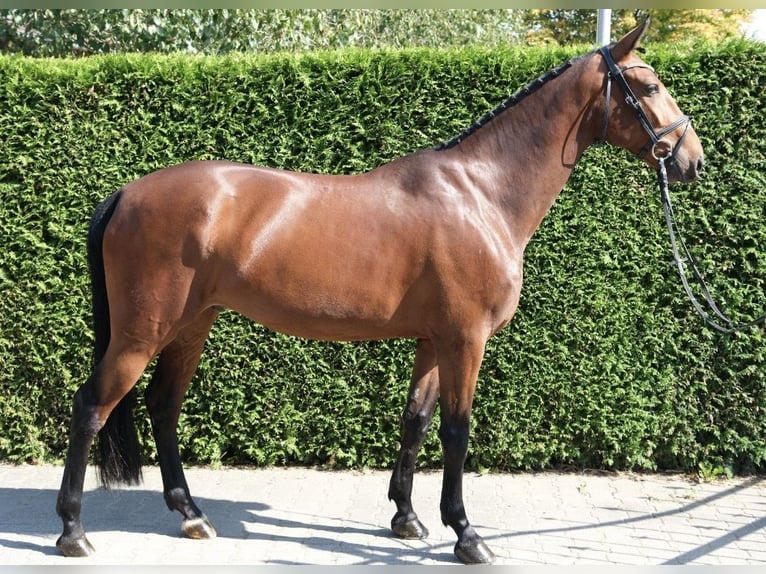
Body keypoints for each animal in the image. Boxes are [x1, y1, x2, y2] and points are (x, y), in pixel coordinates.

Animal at [55, 19, 703, 564]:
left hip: (192, 323)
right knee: (91, 407)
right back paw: (73, 531)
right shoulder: (465, 339)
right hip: (143, 331)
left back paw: (191, 515)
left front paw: (407, 519)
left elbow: (415, 421)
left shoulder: (433, 340)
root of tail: (127, 194)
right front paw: (466, 534)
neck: (481, 194)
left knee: (163, 406)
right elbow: (455, 432)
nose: (691, 160)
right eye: (648, 85)